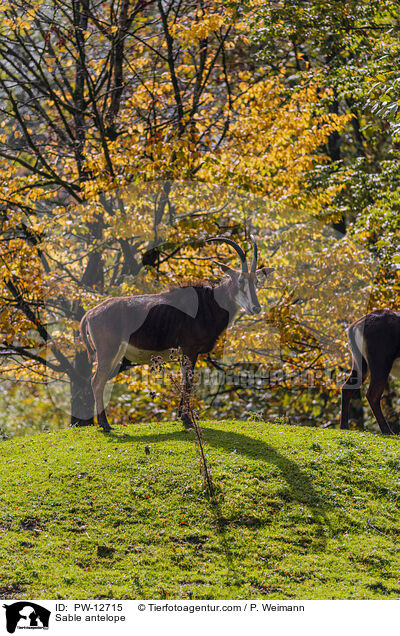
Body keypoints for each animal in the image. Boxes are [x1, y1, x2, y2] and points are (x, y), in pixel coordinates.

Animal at [80, 238, 272, 432]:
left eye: (256, 281)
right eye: (240, 280)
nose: (256, 308)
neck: (210, 302)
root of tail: (90, 313)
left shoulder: (189, 353)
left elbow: (185, 380)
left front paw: (181, 416)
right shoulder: (190, 348)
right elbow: (187, 381)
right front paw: (187, 420)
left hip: (116, 354)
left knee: (99, 382)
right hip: (108, 351)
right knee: (97, 382)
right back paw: (105, 425)